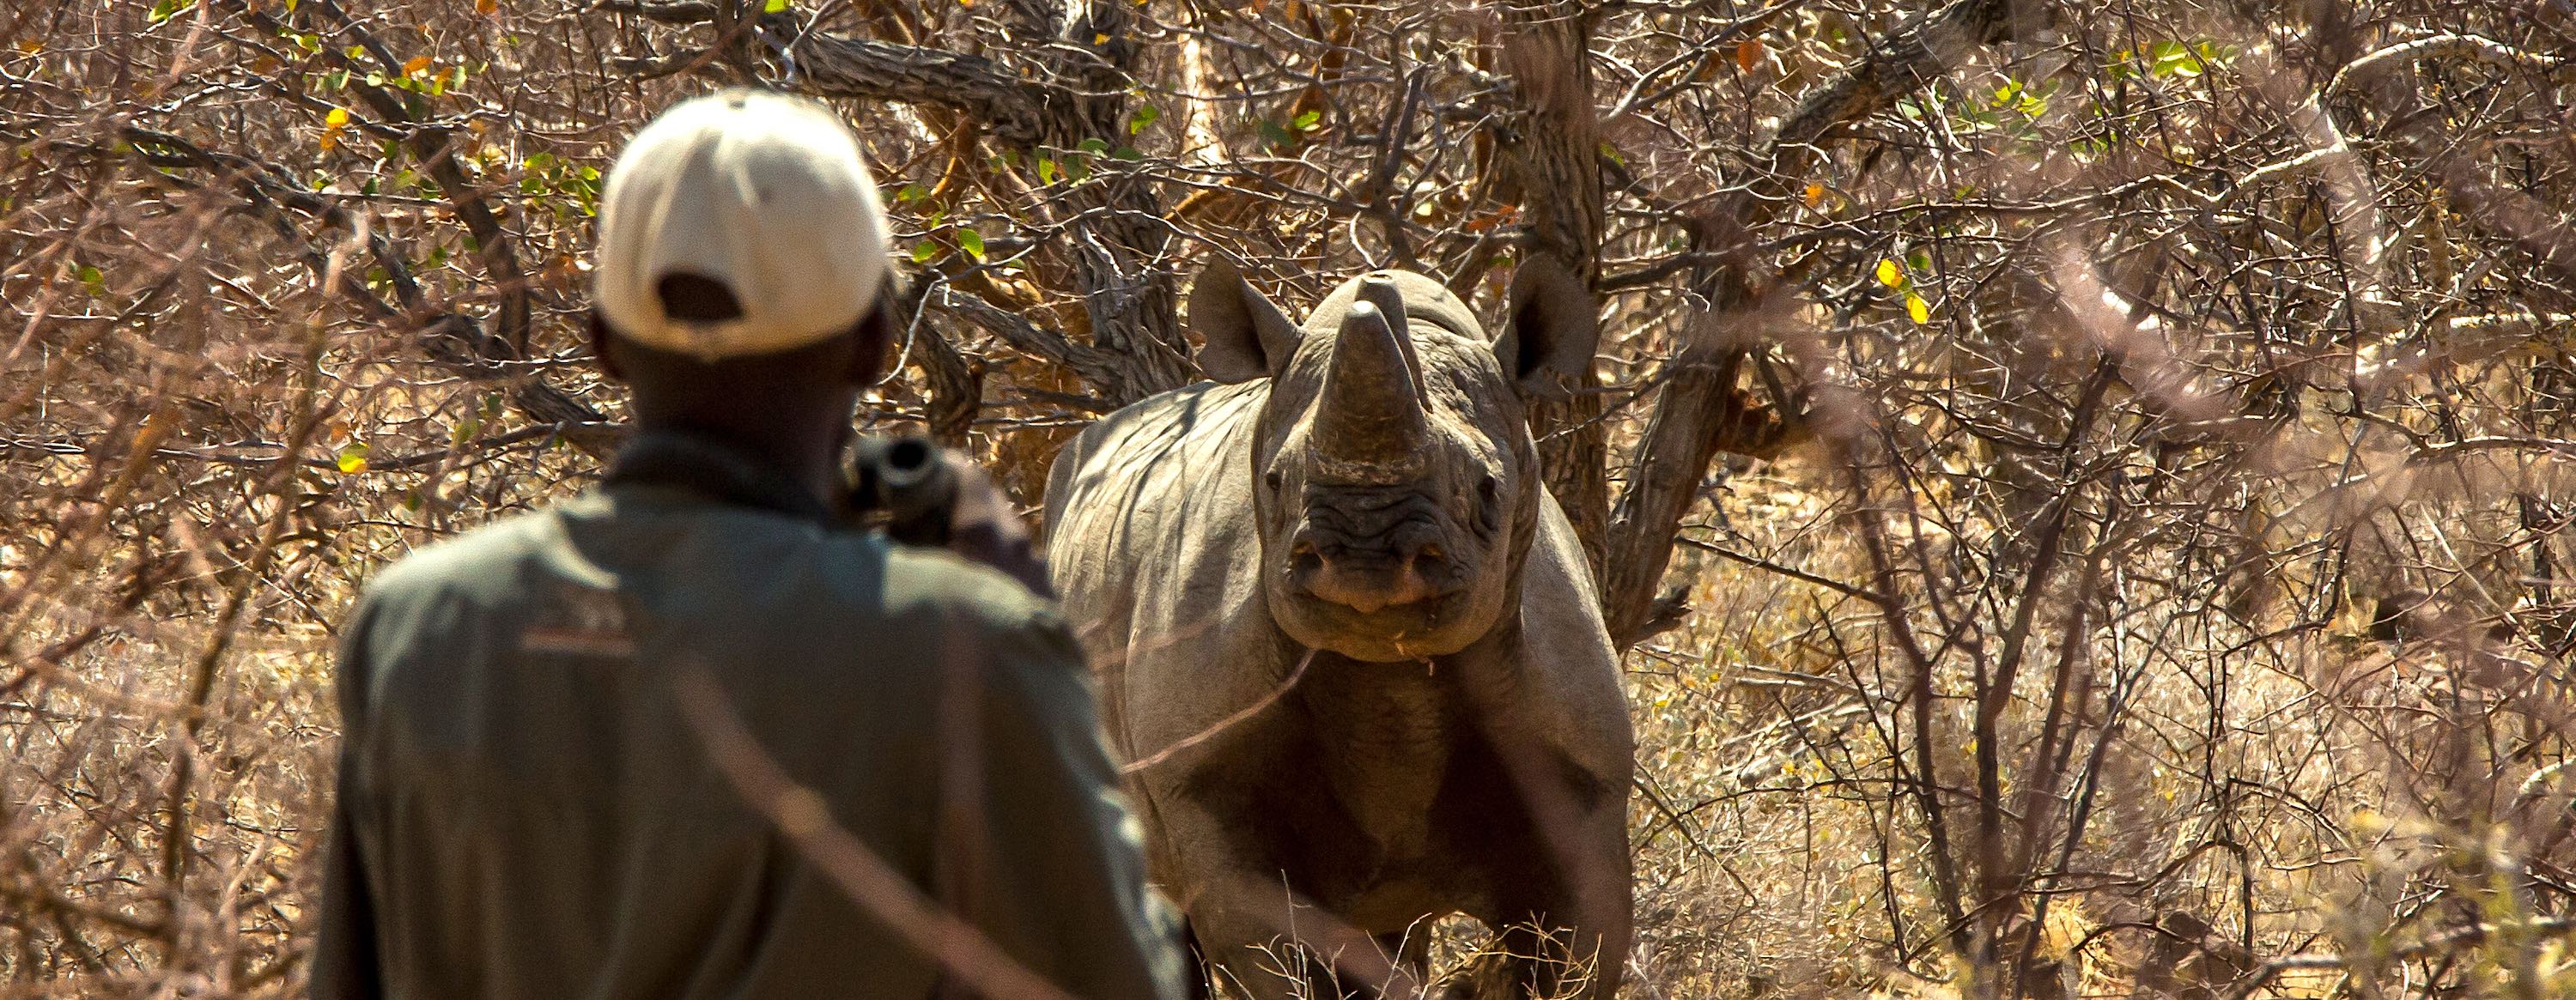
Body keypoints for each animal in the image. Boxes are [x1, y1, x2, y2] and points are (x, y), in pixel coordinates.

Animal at [1045, 260, 1634, 999]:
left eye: (1488, 486)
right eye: (1273, 480)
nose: (1364, 551)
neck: (1391, 679)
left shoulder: (1584, 791)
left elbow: (1574, 955)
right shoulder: (1204, 791)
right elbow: (1278, 955)